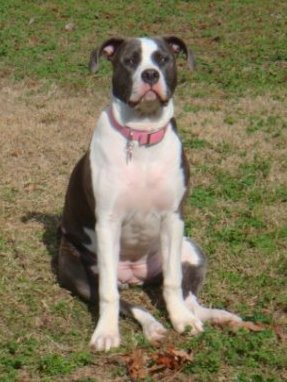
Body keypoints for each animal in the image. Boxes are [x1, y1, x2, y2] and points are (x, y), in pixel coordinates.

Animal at [57, 36, 242, 352]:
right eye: (130, 60)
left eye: (163, 59)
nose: (150, 75)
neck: (141, 137)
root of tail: (133, 276)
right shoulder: (108, 223)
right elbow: (108, 293)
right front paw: (106, 333)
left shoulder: (173, 218)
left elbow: (172, 283)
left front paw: (181, 321)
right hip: (76, 271)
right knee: (127, 301)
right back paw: (153, 326)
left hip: (192, 251)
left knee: (189, 296)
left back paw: (216, 316)